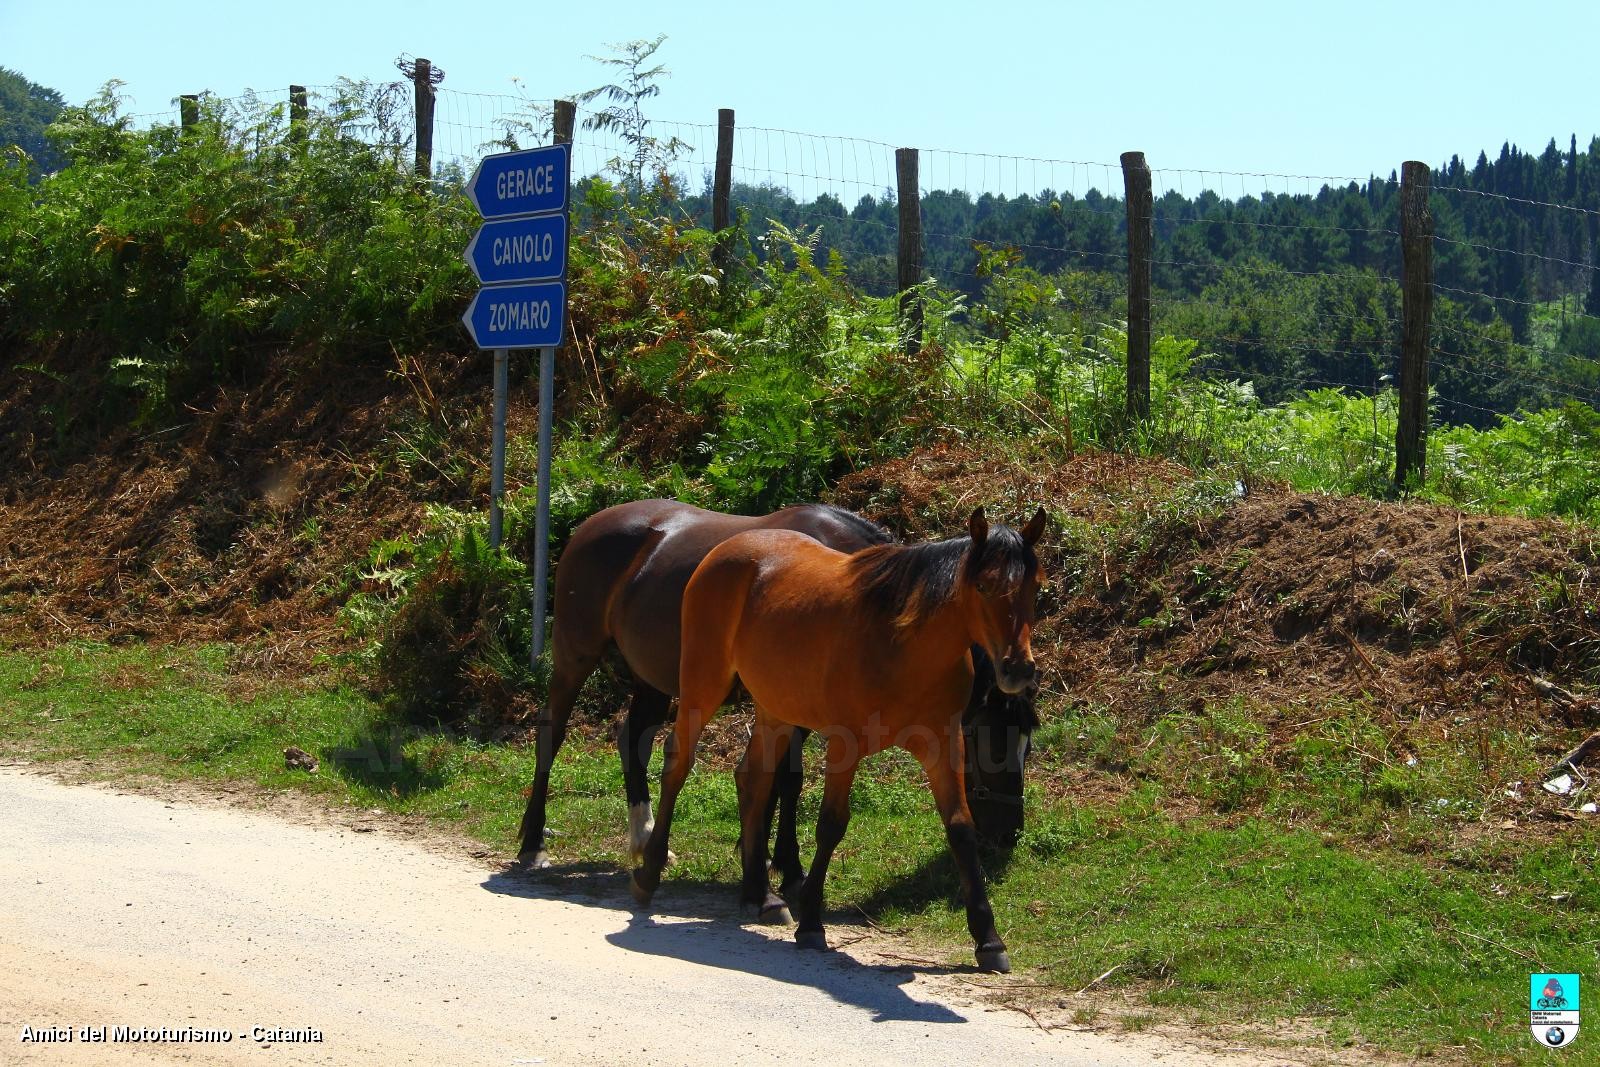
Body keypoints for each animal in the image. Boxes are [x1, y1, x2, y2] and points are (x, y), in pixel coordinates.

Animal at [630, 508, 1043, 979]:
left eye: (1035, 585)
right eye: (984, 586)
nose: (1017, 668)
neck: (904, 645)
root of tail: (726, 549)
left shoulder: (943, 743)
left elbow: (960, 828)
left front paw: (988, 939)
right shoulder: (845, 745)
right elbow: (830, 824)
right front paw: (811, 921)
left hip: (775, 709)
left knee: (754, 780)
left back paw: (763, 897)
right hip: (703, 685)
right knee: (677, 764)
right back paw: (649, 873)